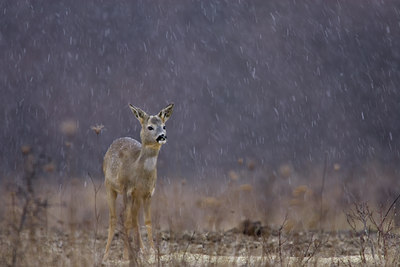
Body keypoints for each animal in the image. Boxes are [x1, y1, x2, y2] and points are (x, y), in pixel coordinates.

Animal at [101, 103, 173, 262]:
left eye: (164, 126)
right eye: (150, 127)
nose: (162, 136)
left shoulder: (147, 193)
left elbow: (147, 222)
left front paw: (153, 252)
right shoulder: (126, 190)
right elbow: (126, 222)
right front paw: (126, 256)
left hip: (136, 197)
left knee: (134, 219)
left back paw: (142, 250)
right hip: (110, 186)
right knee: (113, 218)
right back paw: (106, 255)